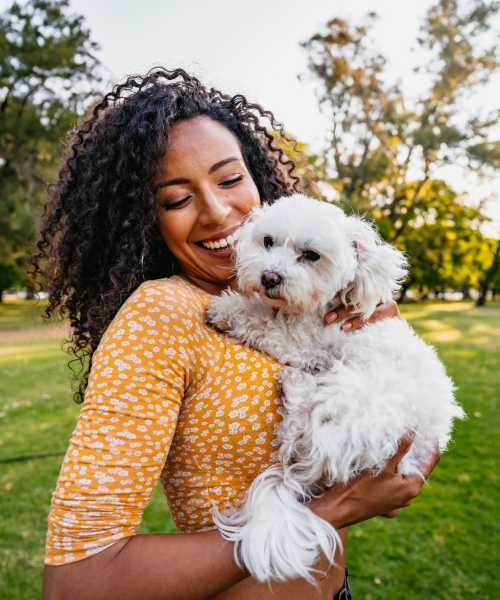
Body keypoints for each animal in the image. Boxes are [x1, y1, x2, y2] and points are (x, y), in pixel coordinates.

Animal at [204, 195, 464, 584]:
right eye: (268, 242)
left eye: (311, 255)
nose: (269, 277)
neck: (316, 309)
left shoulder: (307, 342)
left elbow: (265, 325)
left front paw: (229, 308)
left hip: (355, 399)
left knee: (302, 431)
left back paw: (296, 387)